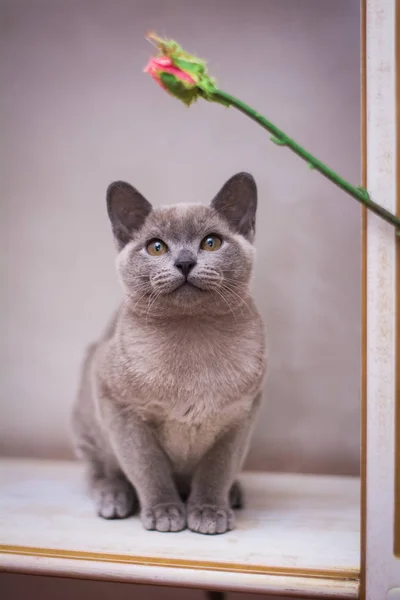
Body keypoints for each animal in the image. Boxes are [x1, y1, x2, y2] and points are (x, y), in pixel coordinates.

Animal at [71, 172, 266, 536]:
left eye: (211, 243)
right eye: (156, 247)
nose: (185, 262)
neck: (193, 339)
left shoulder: (239, 418)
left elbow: (216, 471)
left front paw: (208, 512)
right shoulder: (120, 408)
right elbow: (148, 468)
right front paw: (164, 512)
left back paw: (233, 495)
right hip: (89, 425)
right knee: (100, 471)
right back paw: (114, 499)